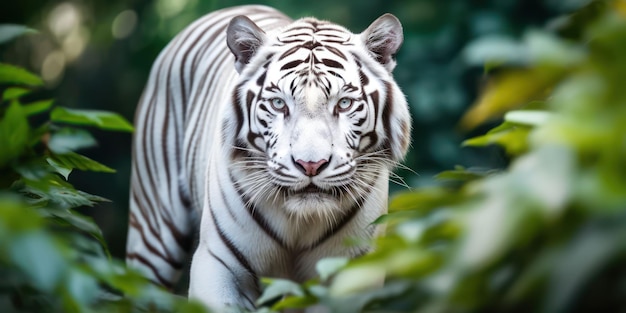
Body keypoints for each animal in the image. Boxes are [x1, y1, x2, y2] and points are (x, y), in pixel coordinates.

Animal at [125, 4, 410, 310]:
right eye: (278, 103)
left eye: (344, 104)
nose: (311, 165)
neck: (300, 222)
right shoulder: (219, 264)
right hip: (152, 234)